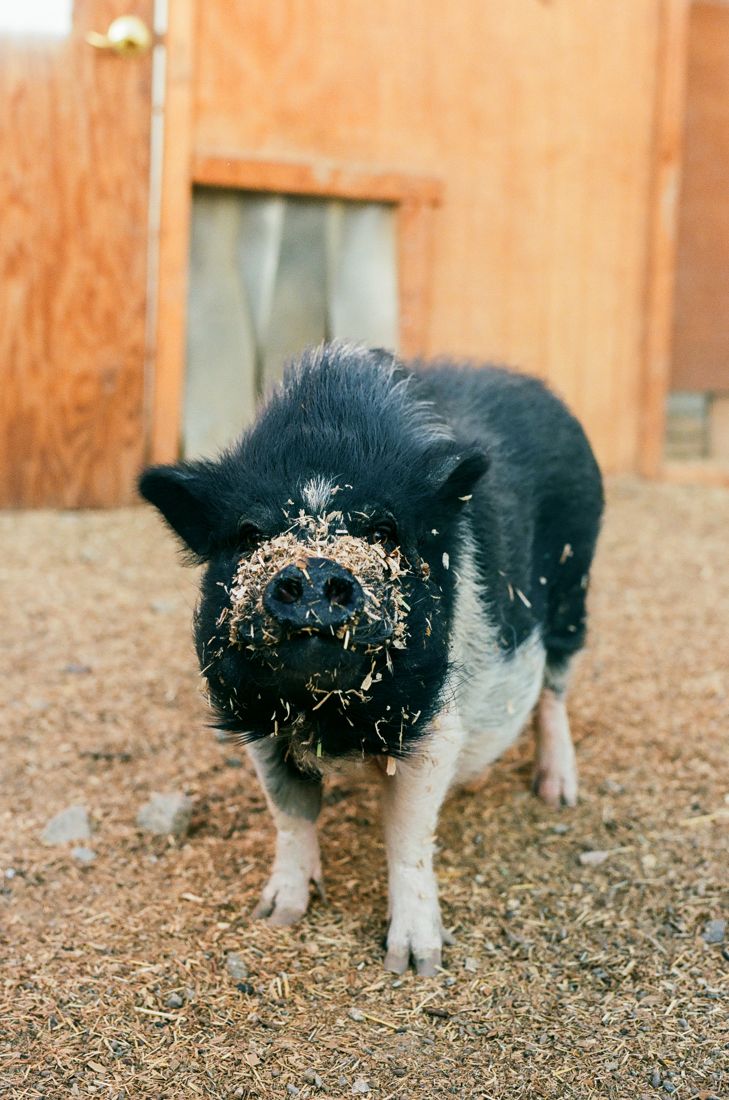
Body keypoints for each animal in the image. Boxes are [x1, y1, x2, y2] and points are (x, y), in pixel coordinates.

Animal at [139, 342, 603, 975]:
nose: (313, 569)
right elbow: (290, 814)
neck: (330, 714)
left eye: (383, 530)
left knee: (554, 691)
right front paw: (276, 916)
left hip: (572, 591)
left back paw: (557, 795)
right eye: (250, 532)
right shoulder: (259, 722)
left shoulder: (433, 727)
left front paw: (416, 964)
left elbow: (407, 835)